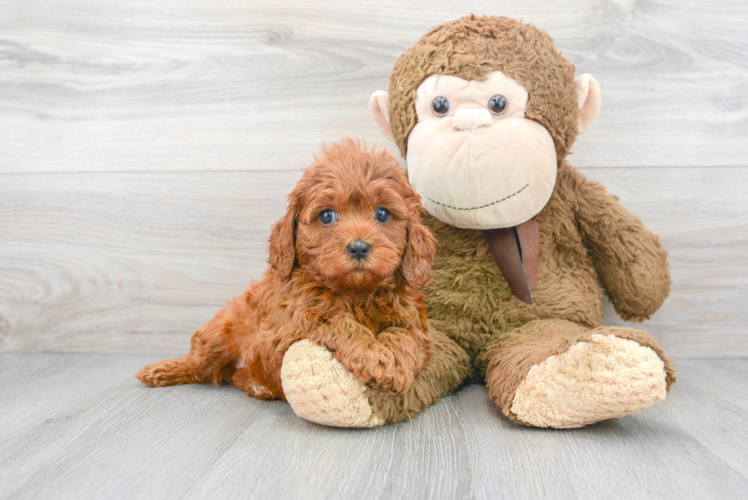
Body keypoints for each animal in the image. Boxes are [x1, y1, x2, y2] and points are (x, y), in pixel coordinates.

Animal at [137, 139, 436, 400]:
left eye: (383, 214)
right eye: (327, 215)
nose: (359, 248)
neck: (356, 293)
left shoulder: (414, 321)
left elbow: (406, 336)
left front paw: (394, 364)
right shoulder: (290, 324)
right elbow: (335, 320)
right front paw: (375, 355)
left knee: (232, 375)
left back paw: (256, 386)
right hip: (218, 334)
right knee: (199, 366)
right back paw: (161, 370)